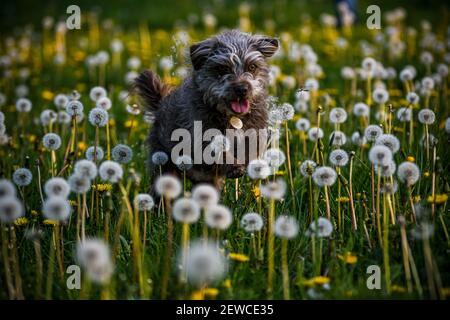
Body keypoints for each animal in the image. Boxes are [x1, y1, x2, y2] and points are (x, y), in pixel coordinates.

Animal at [135, 29, 280, 189]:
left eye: (252, 67)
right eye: (222, 68)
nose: (242, 89)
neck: (233, 117)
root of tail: (161, 103)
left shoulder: (256, 129)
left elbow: (253, 145)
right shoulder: (200, 135)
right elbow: (216, 150)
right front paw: (234, 166)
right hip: (163, 162)